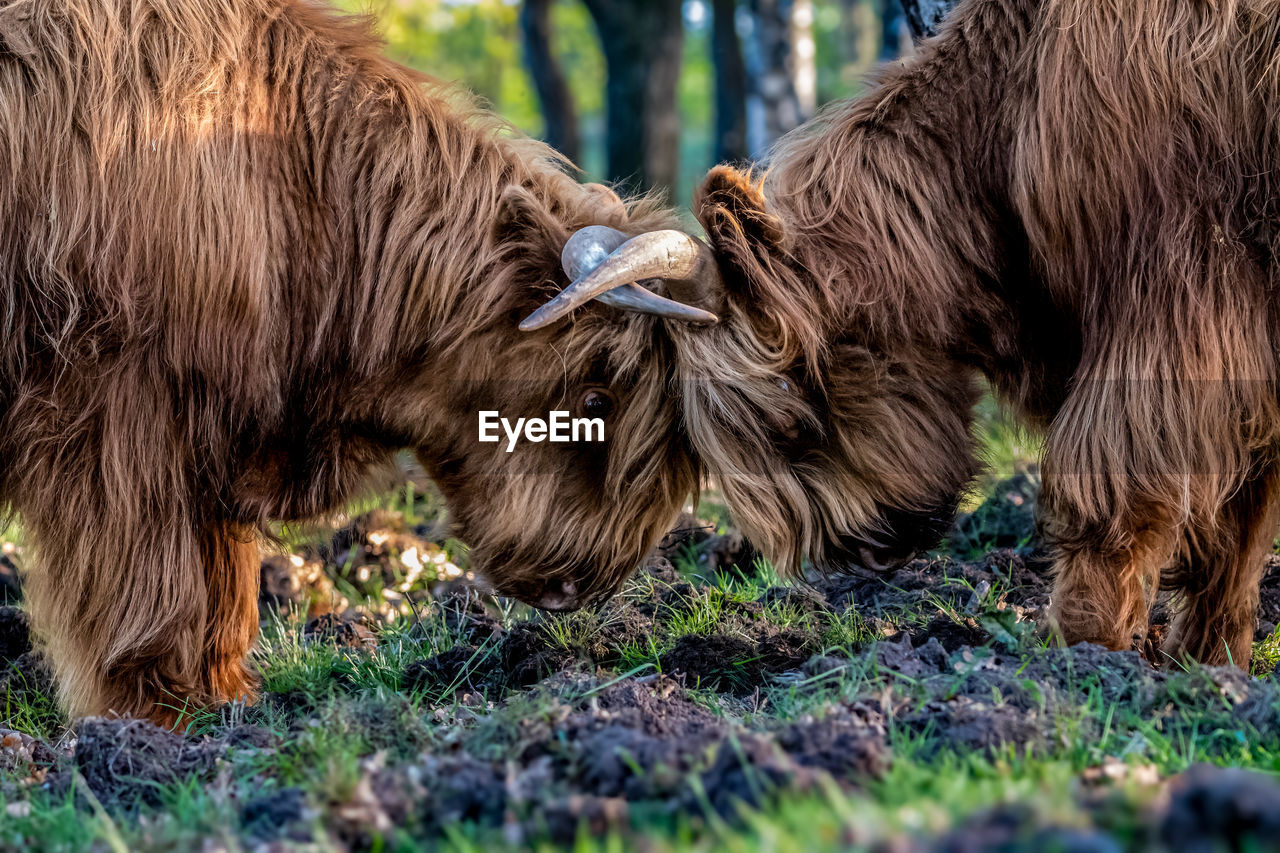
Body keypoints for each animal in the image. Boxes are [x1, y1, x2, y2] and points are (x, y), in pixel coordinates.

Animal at [0, 0, 721, 722]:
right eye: (596, 400)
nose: (584, 584)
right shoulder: (123, 409)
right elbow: (150, 579)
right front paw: (158, 711)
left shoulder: (218, 429)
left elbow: (223, 584)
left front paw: (228, 699)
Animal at [522, 0, 1280, 666]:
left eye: (796, 424)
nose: (866, 550)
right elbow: (1242, 515)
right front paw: (1210, 663)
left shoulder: (1176, 297)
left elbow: (1117, 477)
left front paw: (1082, 650)